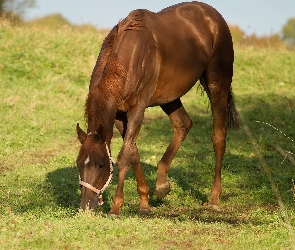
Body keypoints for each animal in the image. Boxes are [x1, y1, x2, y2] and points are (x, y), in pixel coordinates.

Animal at [75, 1, 240, 217]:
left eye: (102, 164)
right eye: (78, 162)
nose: (85, 207)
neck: (131, 54)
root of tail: (213, 16)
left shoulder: (137, 110)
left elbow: (124, 156)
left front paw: (116, 207)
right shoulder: (119, 115)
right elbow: (133, 152)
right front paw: (144, 203)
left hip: (217, 85)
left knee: (218, 138)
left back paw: (214, 199)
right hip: (170, 96)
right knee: (183, 125)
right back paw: (162, 185)